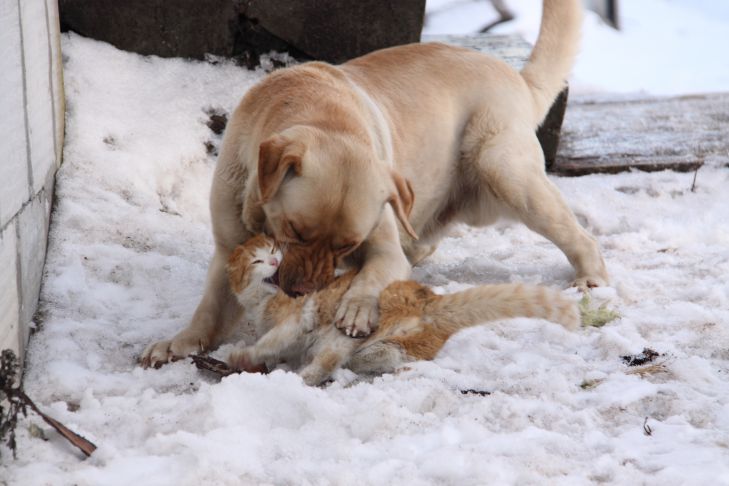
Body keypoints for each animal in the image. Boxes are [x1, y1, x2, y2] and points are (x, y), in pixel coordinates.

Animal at [139, 0, 604, 368]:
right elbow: (209, 311)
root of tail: (515, 77)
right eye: (294, 230)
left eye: (346, 244)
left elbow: (375, 273)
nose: (304, 291)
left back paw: (591, 279)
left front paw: (357, 308)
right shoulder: (227, 250)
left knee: (580, 236)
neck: (321, 114)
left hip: (503, 169)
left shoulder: (382, 245)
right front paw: (177, 343)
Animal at [228, 234, 580, 386]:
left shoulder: (296, 319)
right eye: (257, 260)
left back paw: (305, 376)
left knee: (330, 360)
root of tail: (429, 300)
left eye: (274, 250)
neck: (265, 300)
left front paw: (244, 355)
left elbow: (271, 340)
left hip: (350, 327)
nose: (274, 261)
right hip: (395, 344)